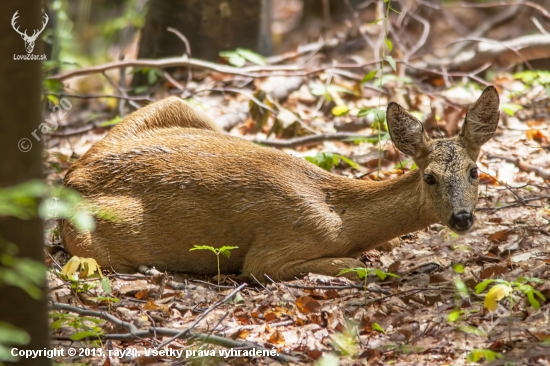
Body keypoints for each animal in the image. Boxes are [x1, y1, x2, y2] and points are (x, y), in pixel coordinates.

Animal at [62, 86, 502, 280]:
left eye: (474, 170)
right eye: (430, 177)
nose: (462, 218)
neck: (342, 218)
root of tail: (74, 175)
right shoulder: (272, 253)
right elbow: (355, 265)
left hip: (179, 107)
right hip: (91, 238)